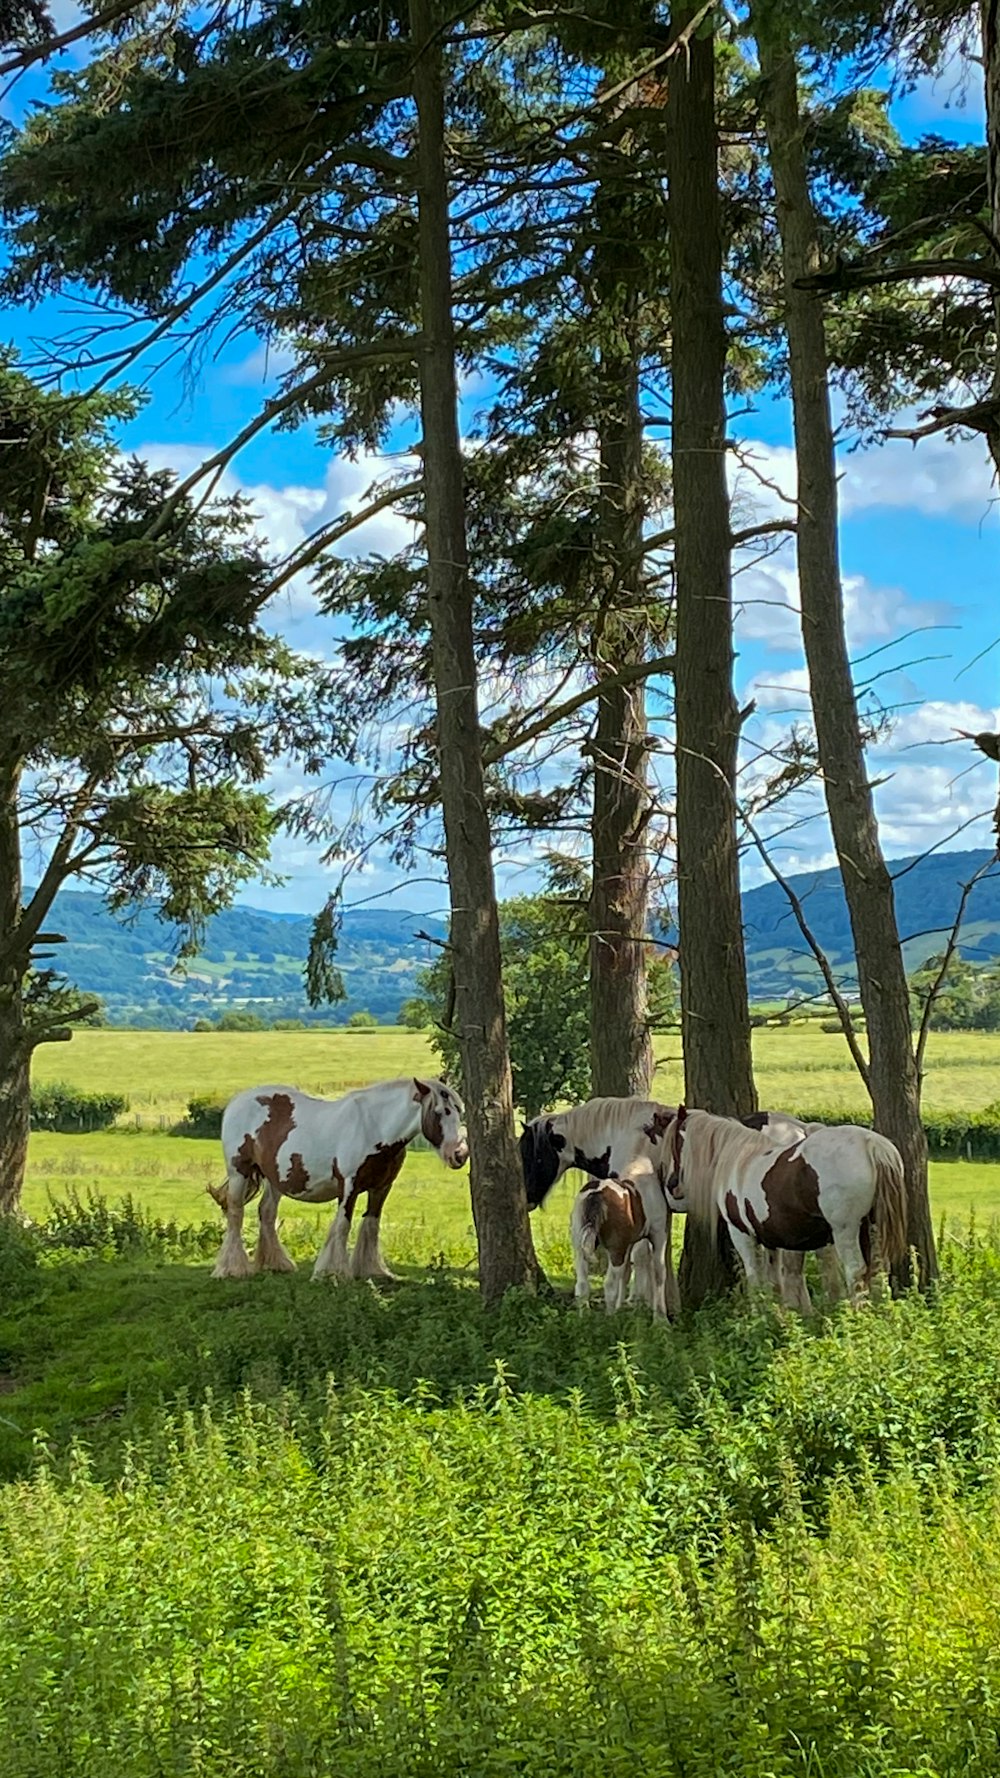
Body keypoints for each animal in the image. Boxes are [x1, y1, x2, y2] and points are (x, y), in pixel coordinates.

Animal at [209, 1073, 466, 1287]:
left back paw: (277, 1264)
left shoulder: (381, 1187)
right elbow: (343, 1225)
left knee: (267, 1212)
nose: (460, 1154)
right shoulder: (349, 1186)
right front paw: (332, 1273)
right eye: (439, 1111)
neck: (373, 1127)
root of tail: (236, 1102)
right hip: (239, 1172)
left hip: (275, 1179)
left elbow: (371, 1225)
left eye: (459, 1110)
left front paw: (372, 1270)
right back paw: (232, 1269)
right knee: (236, 1213)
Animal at [658, 1102, 907, 1301]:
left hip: (846, 1231)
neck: (737, 1160)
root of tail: (870, 1144)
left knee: (855, 1273)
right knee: (877, 1272)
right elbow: (774, 1284)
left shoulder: (742, 1235)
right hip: (873, 1228)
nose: (671, 1185)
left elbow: (755, 1281)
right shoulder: (771, 1241)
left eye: (674, 1144)